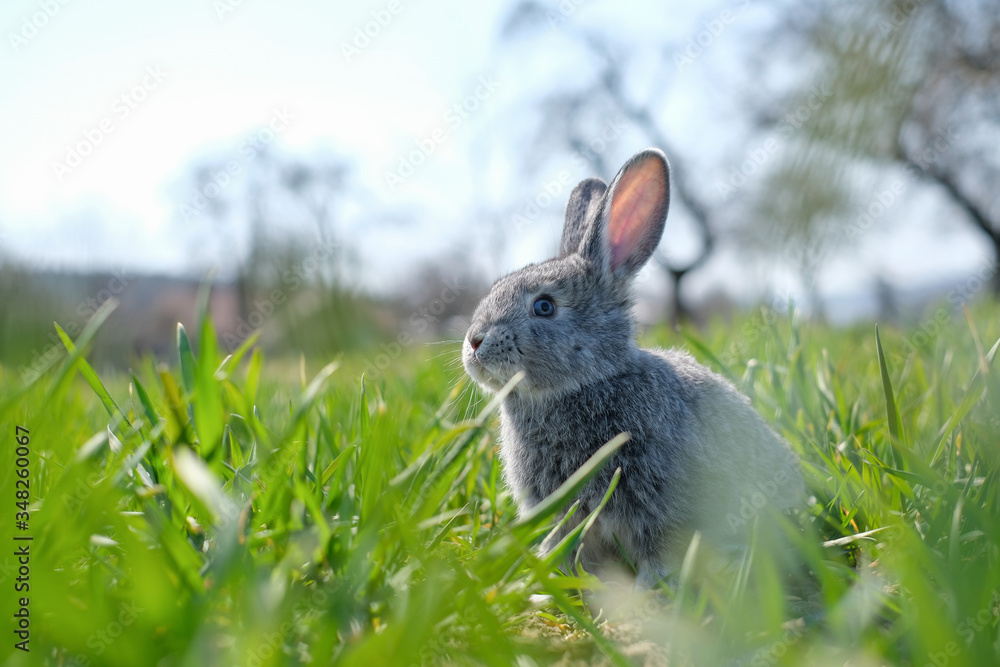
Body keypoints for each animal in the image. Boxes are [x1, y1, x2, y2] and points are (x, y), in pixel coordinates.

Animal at [462, 149, 804, 588]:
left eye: (544, 306)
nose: (474, 343)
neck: (587, 383)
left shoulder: (658, 504)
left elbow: (656, 548)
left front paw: (649, 589)